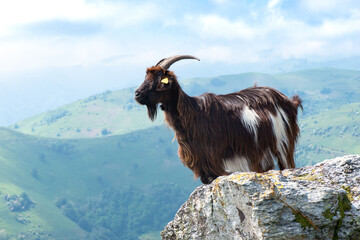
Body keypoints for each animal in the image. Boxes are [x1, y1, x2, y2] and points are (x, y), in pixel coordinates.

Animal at [134, 55, 302, 184]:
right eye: (146, 77)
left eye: (158, 79)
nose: (137, 94)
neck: (193, 114)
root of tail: (289, 101)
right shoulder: (201, 162)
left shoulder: (214, 158)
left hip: (282, 140)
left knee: (287, 163)